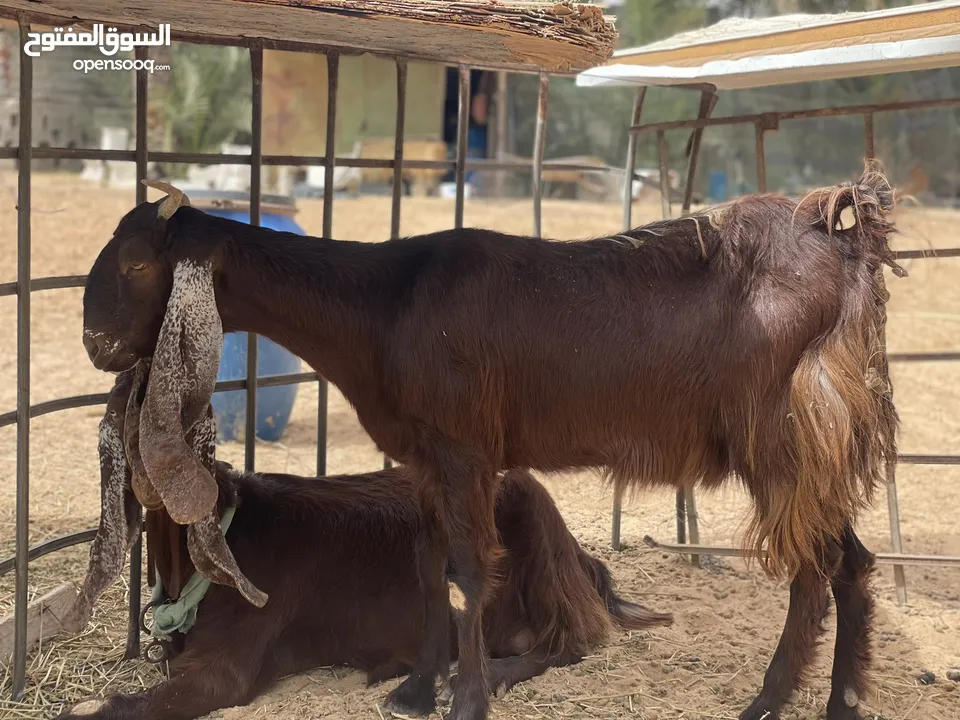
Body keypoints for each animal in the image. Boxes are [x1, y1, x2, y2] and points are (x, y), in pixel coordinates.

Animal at [80, 163, 900, 720]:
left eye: (136, 261)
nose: (95, 343)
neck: (388, 302)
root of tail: (841, 235)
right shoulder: (422, 459)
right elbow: (426, 563)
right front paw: (417, 687)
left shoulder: (466, 450)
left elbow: (472, 572)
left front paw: (466, 698)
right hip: (809, 456)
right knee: (852, 562)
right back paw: (845, 700)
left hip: (784, 443)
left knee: (814, 569)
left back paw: (768, 702)